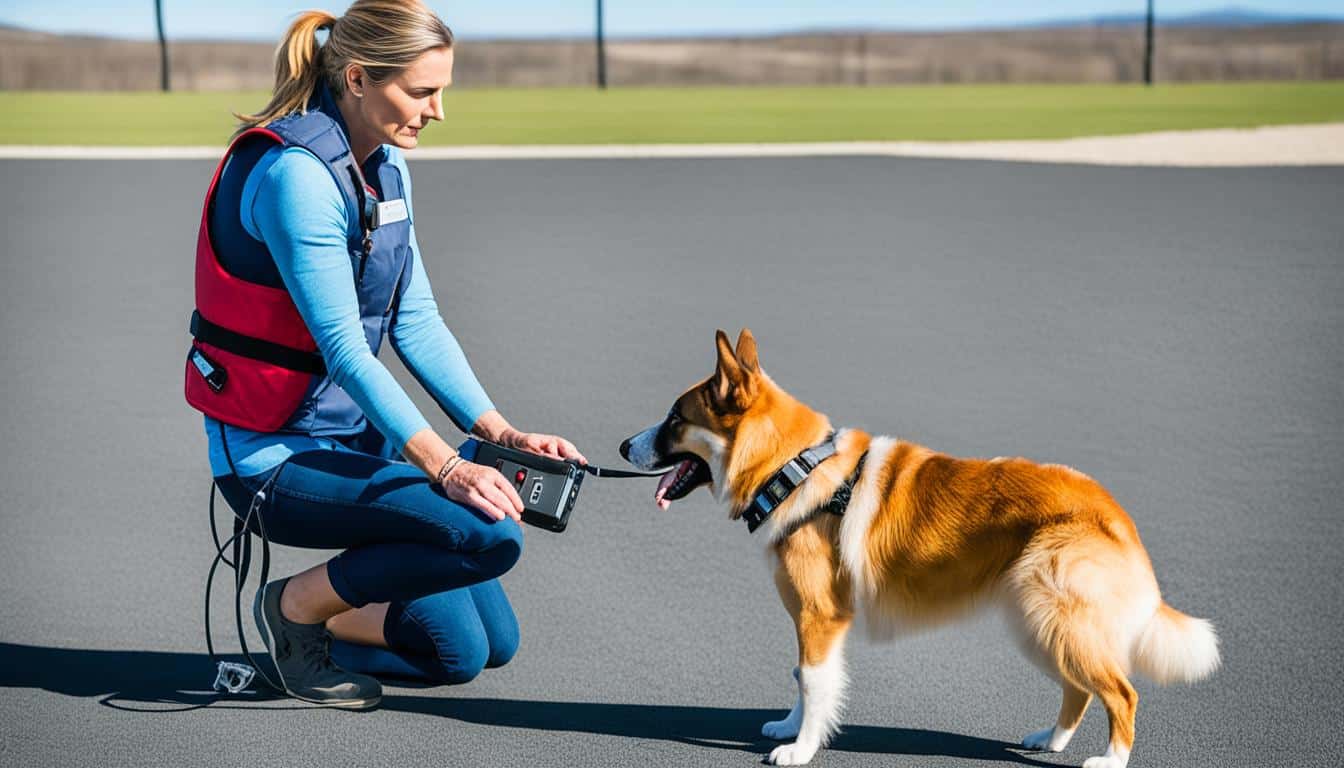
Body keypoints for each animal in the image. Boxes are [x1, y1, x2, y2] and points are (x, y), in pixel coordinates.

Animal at [618, 330, 1220, 768]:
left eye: (676, 418)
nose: (623, 447)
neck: (795, 466)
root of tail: (1114, 513)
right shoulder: (815, 622)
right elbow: (802, 680)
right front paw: (790, 728)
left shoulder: (819, 616)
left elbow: (812, 681)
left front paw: (800, 749)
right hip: (1039, 625)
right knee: (1082, 690)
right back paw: (1049, 741)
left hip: (1056, 621)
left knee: (1122, 693)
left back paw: (1110, 760)